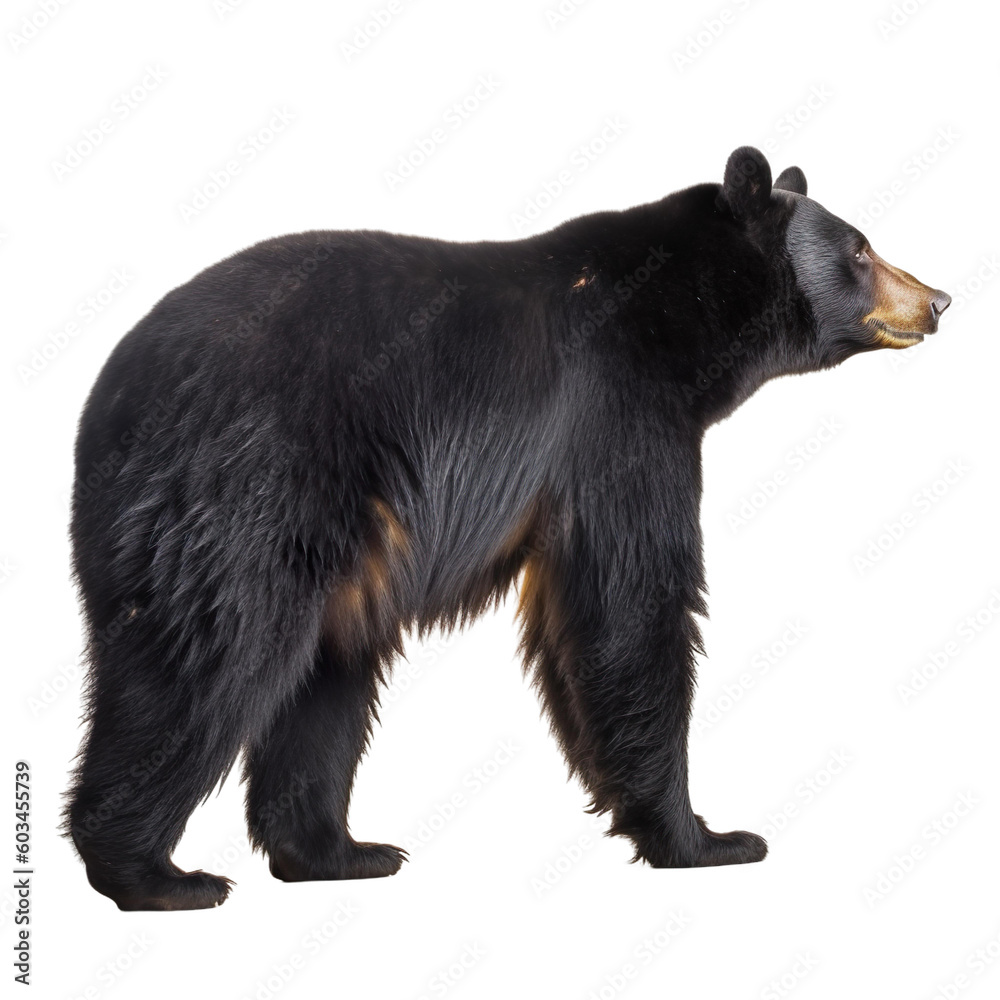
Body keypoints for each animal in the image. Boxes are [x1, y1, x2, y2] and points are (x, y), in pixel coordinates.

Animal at [64, 146, 950, 909]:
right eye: (861, 248)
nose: (936, 299)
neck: (677, 313)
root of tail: (108, 397)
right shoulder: (616, 411)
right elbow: (632, 602)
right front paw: (705, 836)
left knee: (326, 676)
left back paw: (339, 854)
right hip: (244, 487)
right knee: (206, 657)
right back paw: (154, 873)